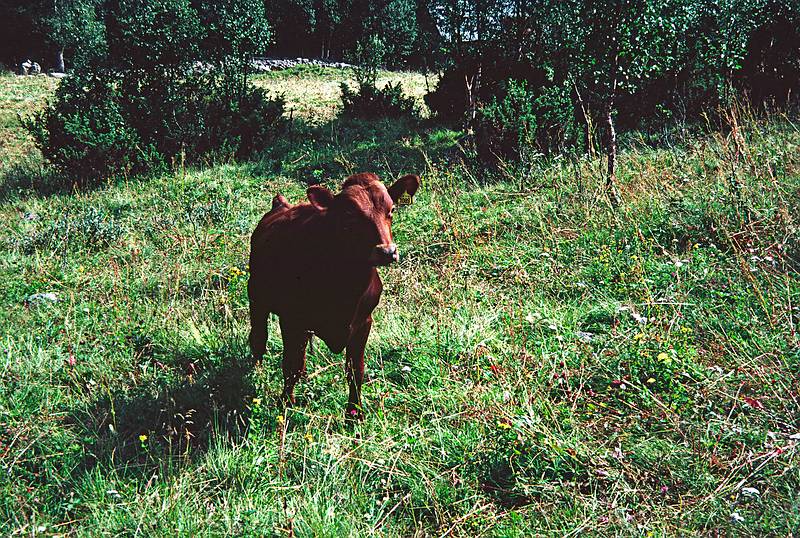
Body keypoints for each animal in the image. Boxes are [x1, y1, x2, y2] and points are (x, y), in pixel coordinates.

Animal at [250, 172, 422, 414]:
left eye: (392, 209)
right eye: (349, 215)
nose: (387, 251)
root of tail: (281, 205)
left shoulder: (363, 322)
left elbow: (356, 371)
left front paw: (354, 414)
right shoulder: (291, 319)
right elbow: (290, 365)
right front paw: (286, 405)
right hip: (256, 296)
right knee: (258, 338)